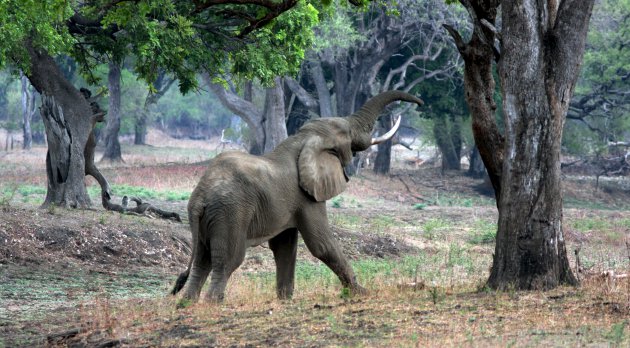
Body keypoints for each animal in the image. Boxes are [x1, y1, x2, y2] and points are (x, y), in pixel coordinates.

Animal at [173, 89, 424, 302]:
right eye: (346, 133)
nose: (420, 102)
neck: (302, 139)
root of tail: (200, 196)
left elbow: (284, 247)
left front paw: (285, 300)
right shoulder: (307, 197)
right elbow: (321, 244)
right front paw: (362, 292)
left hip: (209, 219)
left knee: (202, 261)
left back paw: (187, 305)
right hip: (230, 212)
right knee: (227, 261)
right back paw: (212, 304)